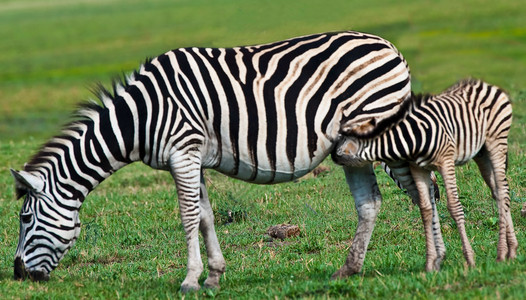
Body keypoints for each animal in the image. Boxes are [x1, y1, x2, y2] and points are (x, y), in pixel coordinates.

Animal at [336, 78, 516, 270]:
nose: (436, 192)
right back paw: (510, 249)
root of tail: (486, 84)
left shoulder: (445, 161)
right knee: (498, 191)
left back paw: (503, 252)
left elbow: (453, 206)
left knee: (503, 190)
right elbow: (426, 209)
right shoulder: (418, 168)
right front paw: (433, 261)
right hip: (482, 153)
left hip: (496, 141)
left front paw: (468, 259)